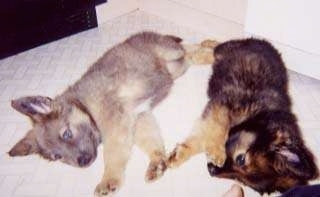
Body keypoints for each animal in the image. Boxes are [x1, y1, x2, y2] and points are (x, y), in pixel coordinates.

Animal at [8, 31, 218, 196]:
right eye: (57, 157)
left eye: (67, 133)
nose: (83, 162)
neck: (87, 107)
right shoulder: (139, 117)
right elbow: (151, 140)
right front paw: (156, 161)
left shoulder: (117, 126)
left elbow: (112, 154)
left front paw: (109, 179)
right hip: (177, 66)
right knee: (194, 51)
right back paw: (212, 44)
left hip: (170, 53)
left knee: (192, 50)